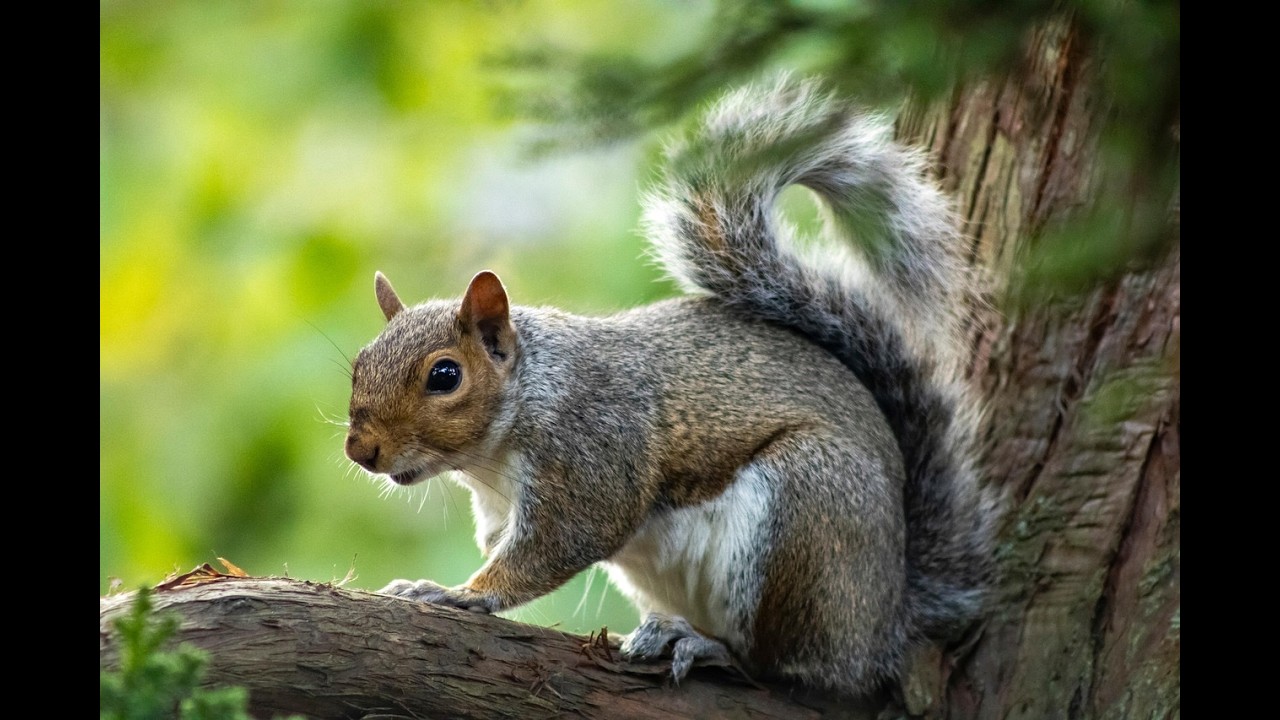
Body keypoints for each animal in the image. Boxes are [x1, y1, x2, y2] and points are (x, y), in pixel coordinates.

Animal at [344, 75, 994, 698]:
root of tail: (884, 625)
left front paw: (462, 592)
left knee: (786, 665)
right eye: (359, 364)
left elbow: (557, 545)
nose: (360, 450)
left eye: (444, 375)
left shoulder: (594, 452)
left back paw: (710, 649)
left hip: (808, 518)